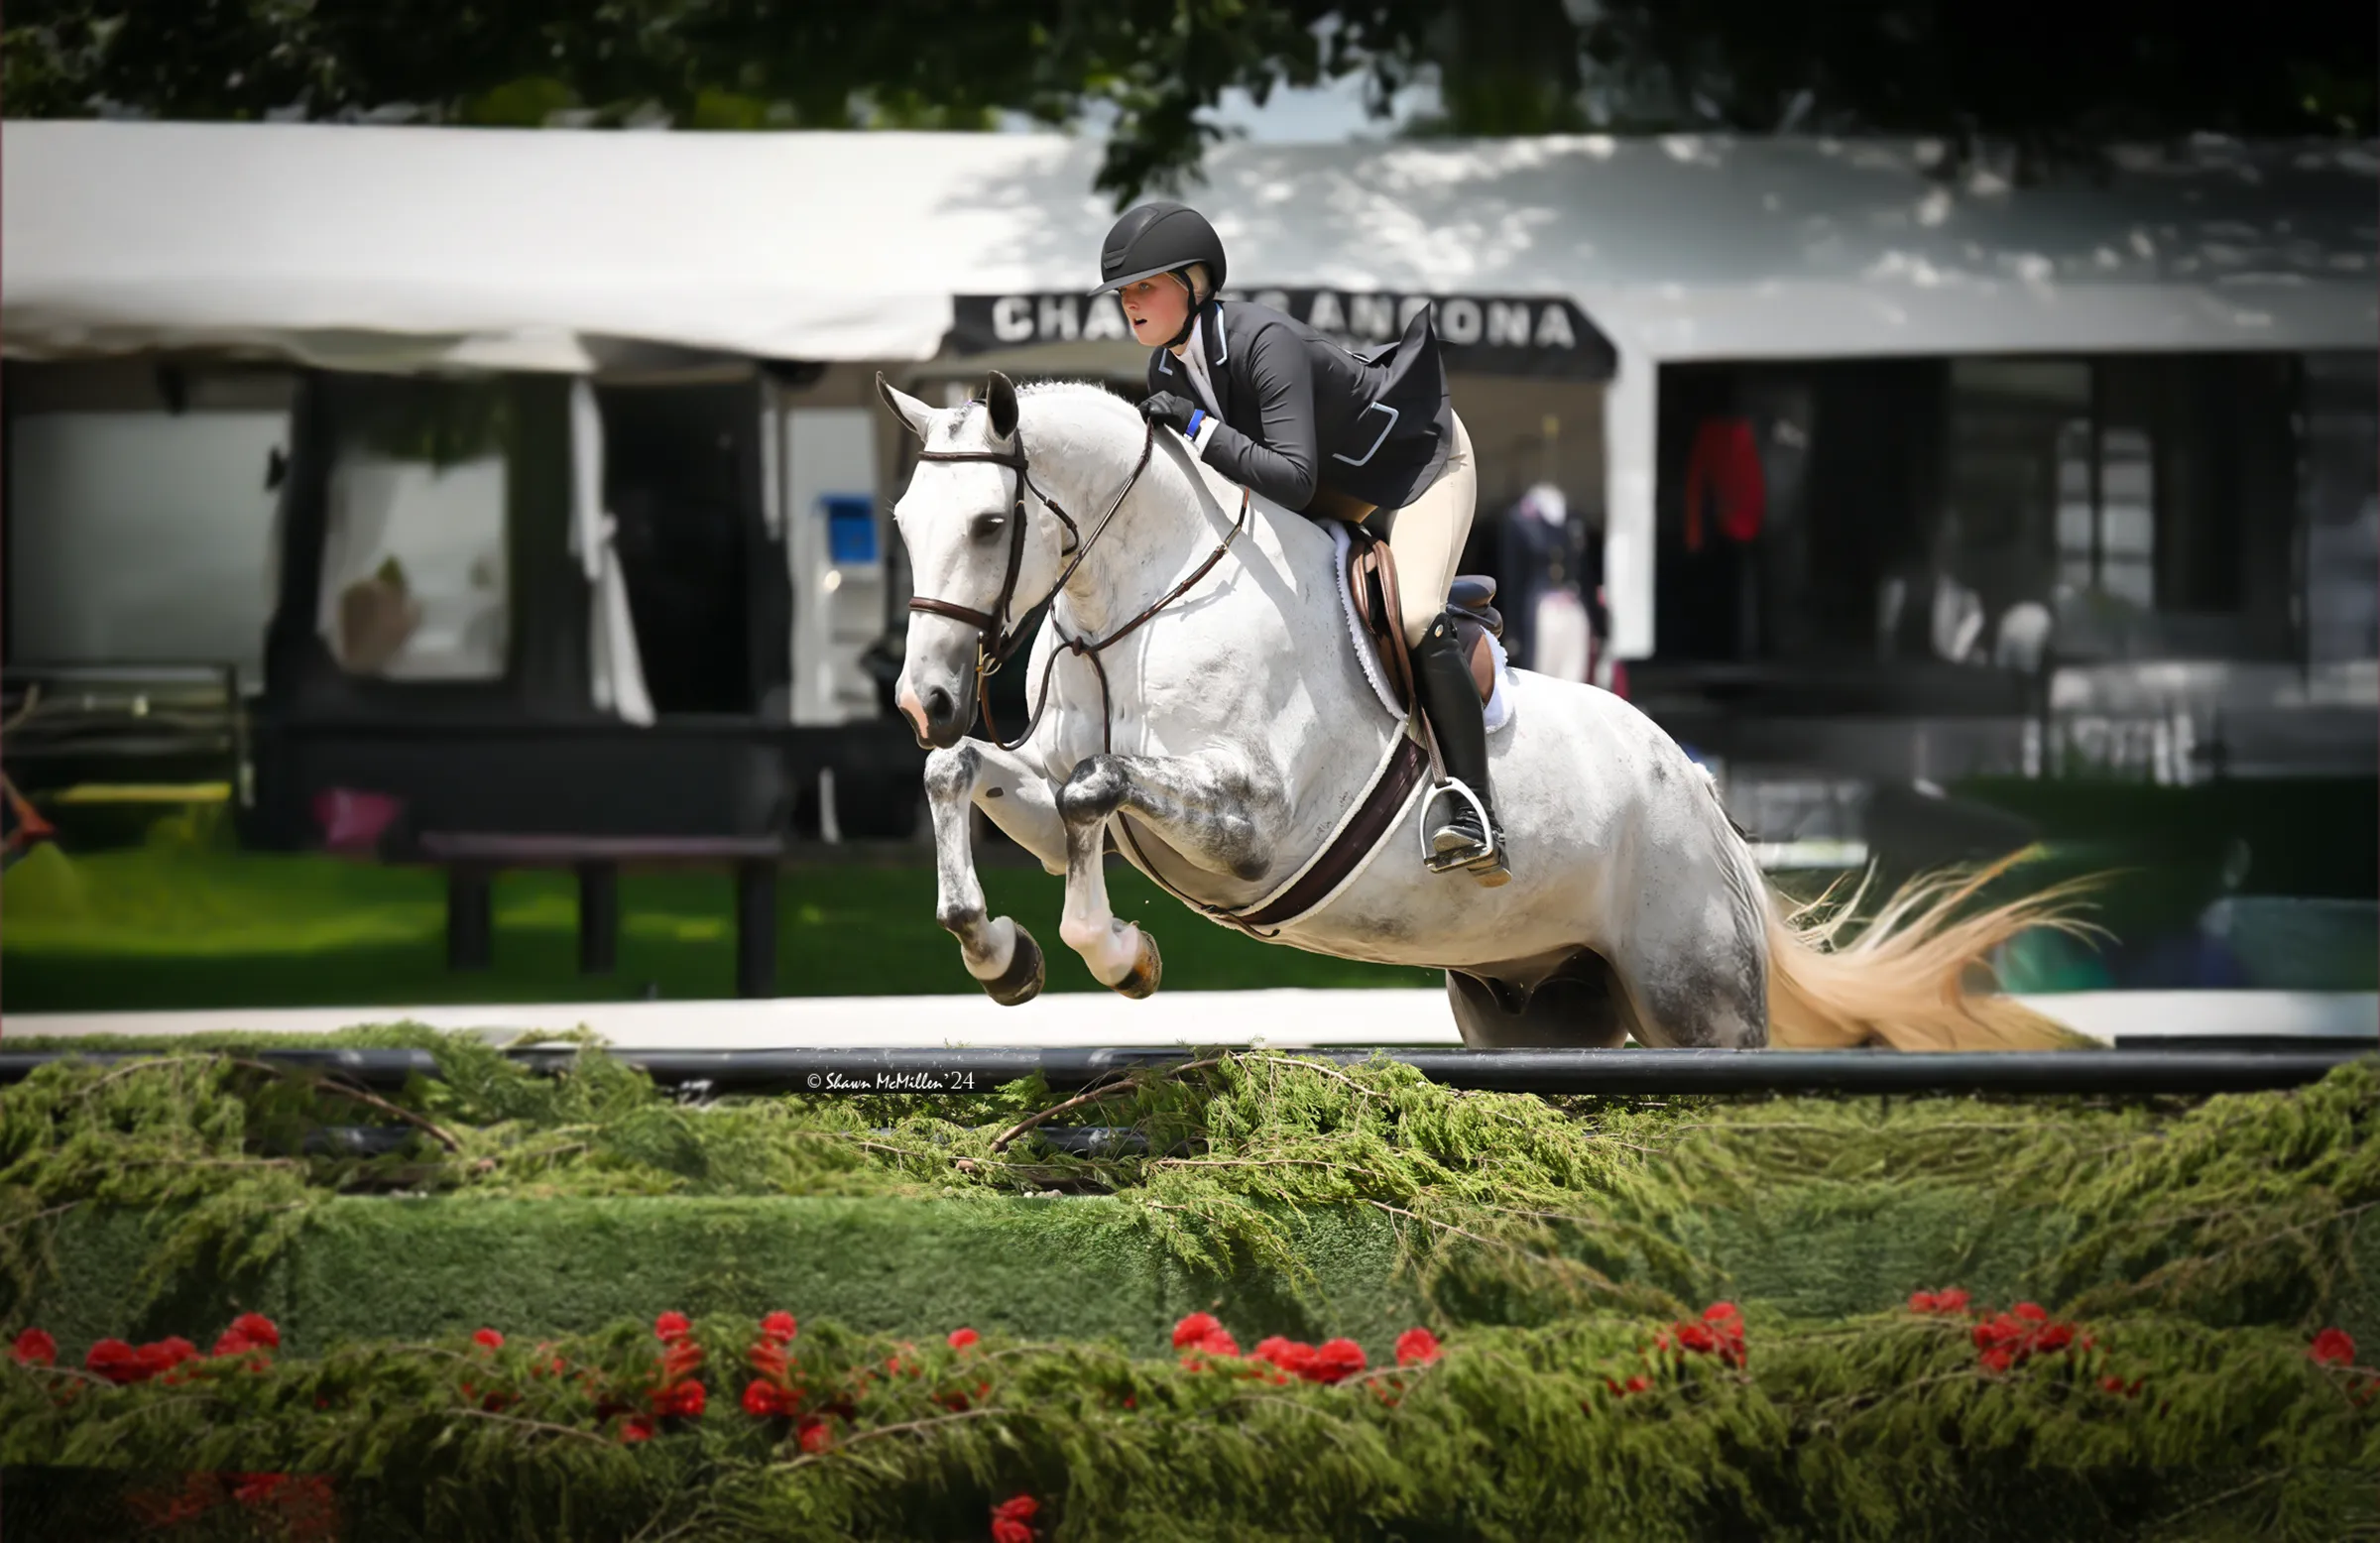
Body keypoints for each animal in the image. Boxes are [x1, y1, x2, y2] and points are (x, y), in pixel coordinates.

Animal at [879, 371, 2080, 1051]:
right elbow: (982, 778)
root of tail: (1702, 794)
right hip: (1533, 1006)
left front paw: (1116, 952)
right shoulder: (1042, 789)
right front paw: (1000, 952)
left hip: (1697, 999)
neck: (1141, 598)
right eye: (901, 518)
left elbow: (1100, 787)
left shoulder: (1254, 825)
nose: (922, 696)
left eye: (990, 523)